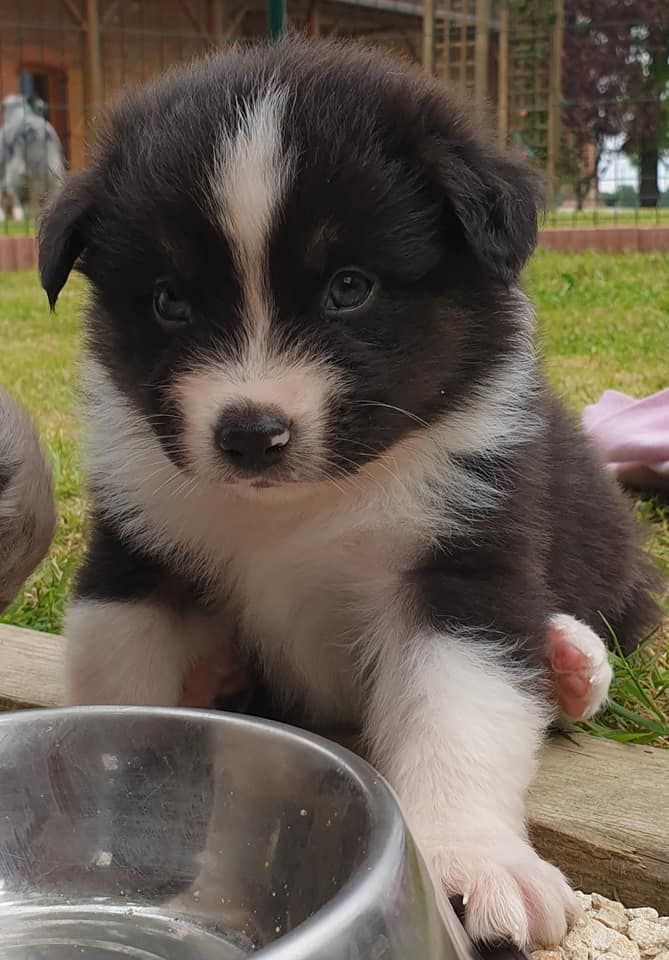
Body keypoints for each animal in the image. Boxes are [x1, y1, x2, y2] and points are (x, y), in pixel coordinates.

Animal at [38, 38, 661, 948]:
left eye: (349, 287)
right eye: (169, 301)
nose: (250, 434)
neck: (302, 507)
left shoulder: (460, 560)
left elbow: (459, 713)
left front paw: (472, 862)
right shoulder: (138, 552)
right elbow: (118, 688)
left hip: (607, 552)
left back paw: (567, 661)